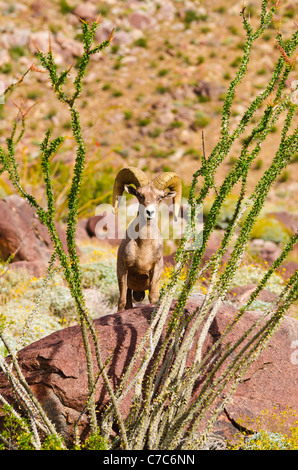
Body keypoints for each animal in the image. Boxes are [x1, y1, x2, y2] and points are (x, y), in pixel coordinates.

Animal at [112, 167, 180, 310]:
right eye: (140, 195)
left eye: (160, 197)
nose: (149, 212)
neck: (143, 248)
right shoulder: (123, 270)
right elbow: (121, 301)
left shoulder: (155, 269)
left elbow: (153, 297)